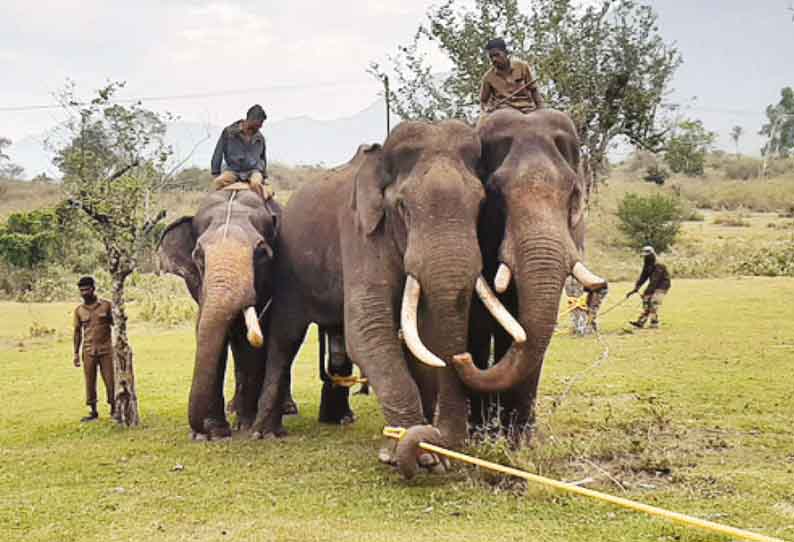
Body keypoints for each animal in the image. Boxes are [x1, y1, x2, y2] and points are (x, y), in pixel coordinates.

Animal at [158, 187, 282, 442]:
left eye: (261, 253)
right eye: (198, 255)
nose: (201, 428)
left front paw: (246, 425)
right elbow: (210, 333)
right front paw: (214, 433)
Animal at [251, 121, 524, 478]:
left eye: (480, 204)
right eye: (404, 207)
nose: (465, 358)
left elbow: (423, 334)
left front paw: (429, 456)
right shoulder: (360, 234)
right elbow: (368, 330)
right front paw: (418, 454)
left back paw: (336, 420)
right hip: (289, 271)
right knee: (285, 338)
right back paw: (265, 433)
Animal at [452, 109, 608, 442]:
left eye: (574, 193)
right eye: (495, 193)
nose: (461, 359)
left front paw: (520, 440)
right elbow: (479, 324)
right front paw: (481, 436)